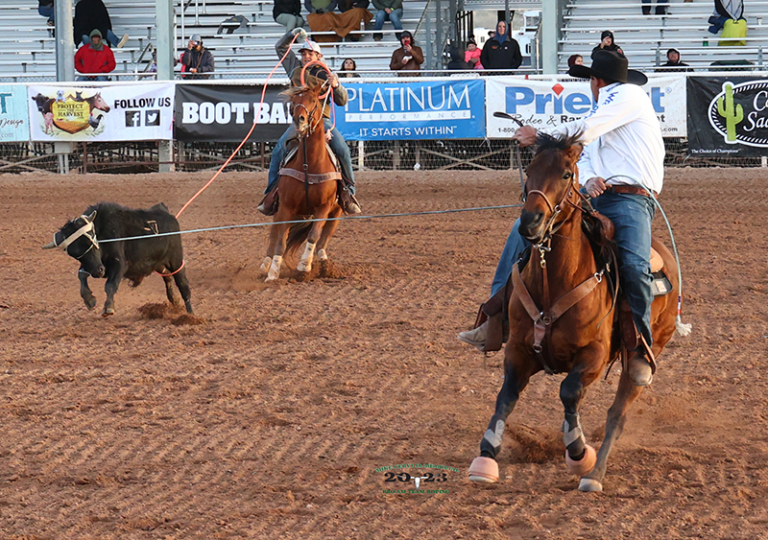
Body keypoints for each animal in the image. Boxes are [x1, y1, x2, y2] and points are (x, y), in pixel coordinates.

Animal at [260, 81, 342, 282]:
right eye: (293, 101)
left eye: (313, 100)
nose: (300, 120)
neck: (309, 165)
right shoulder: (285, 207)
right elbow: (281, 242)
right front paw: (273, 273)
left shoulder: (324, 207)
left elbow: (313, 236)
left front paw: (304, 267)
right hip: (281, 211)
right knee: (274, 237)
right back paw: (265, 265)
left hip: (336, 212)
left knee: (322, 240)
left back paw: (323, 263)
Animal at [472, 132, 680, 494]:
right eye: (530, 169)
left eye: (567, 174)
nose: (530, 222)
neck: (554, 280)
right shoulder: (519, 350)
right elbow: (506, 396)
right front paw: (486, 456)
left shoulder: (593, 354)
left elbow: (568, 392)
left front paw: (579, 451)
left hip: (646, 350)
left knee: (618, 412)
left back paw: (594, 475)